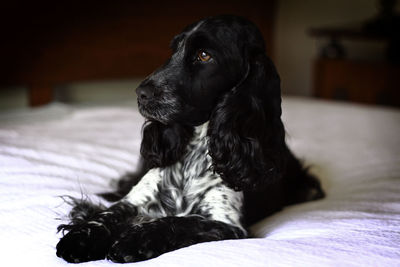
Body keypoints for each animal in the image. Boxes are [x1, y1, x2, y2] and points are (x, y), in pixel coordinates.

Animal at [57, 14, 324, 264]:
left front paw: (133, 241)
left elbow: (178, 222)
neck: (196, 150)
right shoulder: (135, 200)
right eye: (174, 50)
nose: (141, 93)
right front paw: (80, 238)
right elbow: (106, 215)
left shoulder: (227, 223)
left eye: (204, 55)